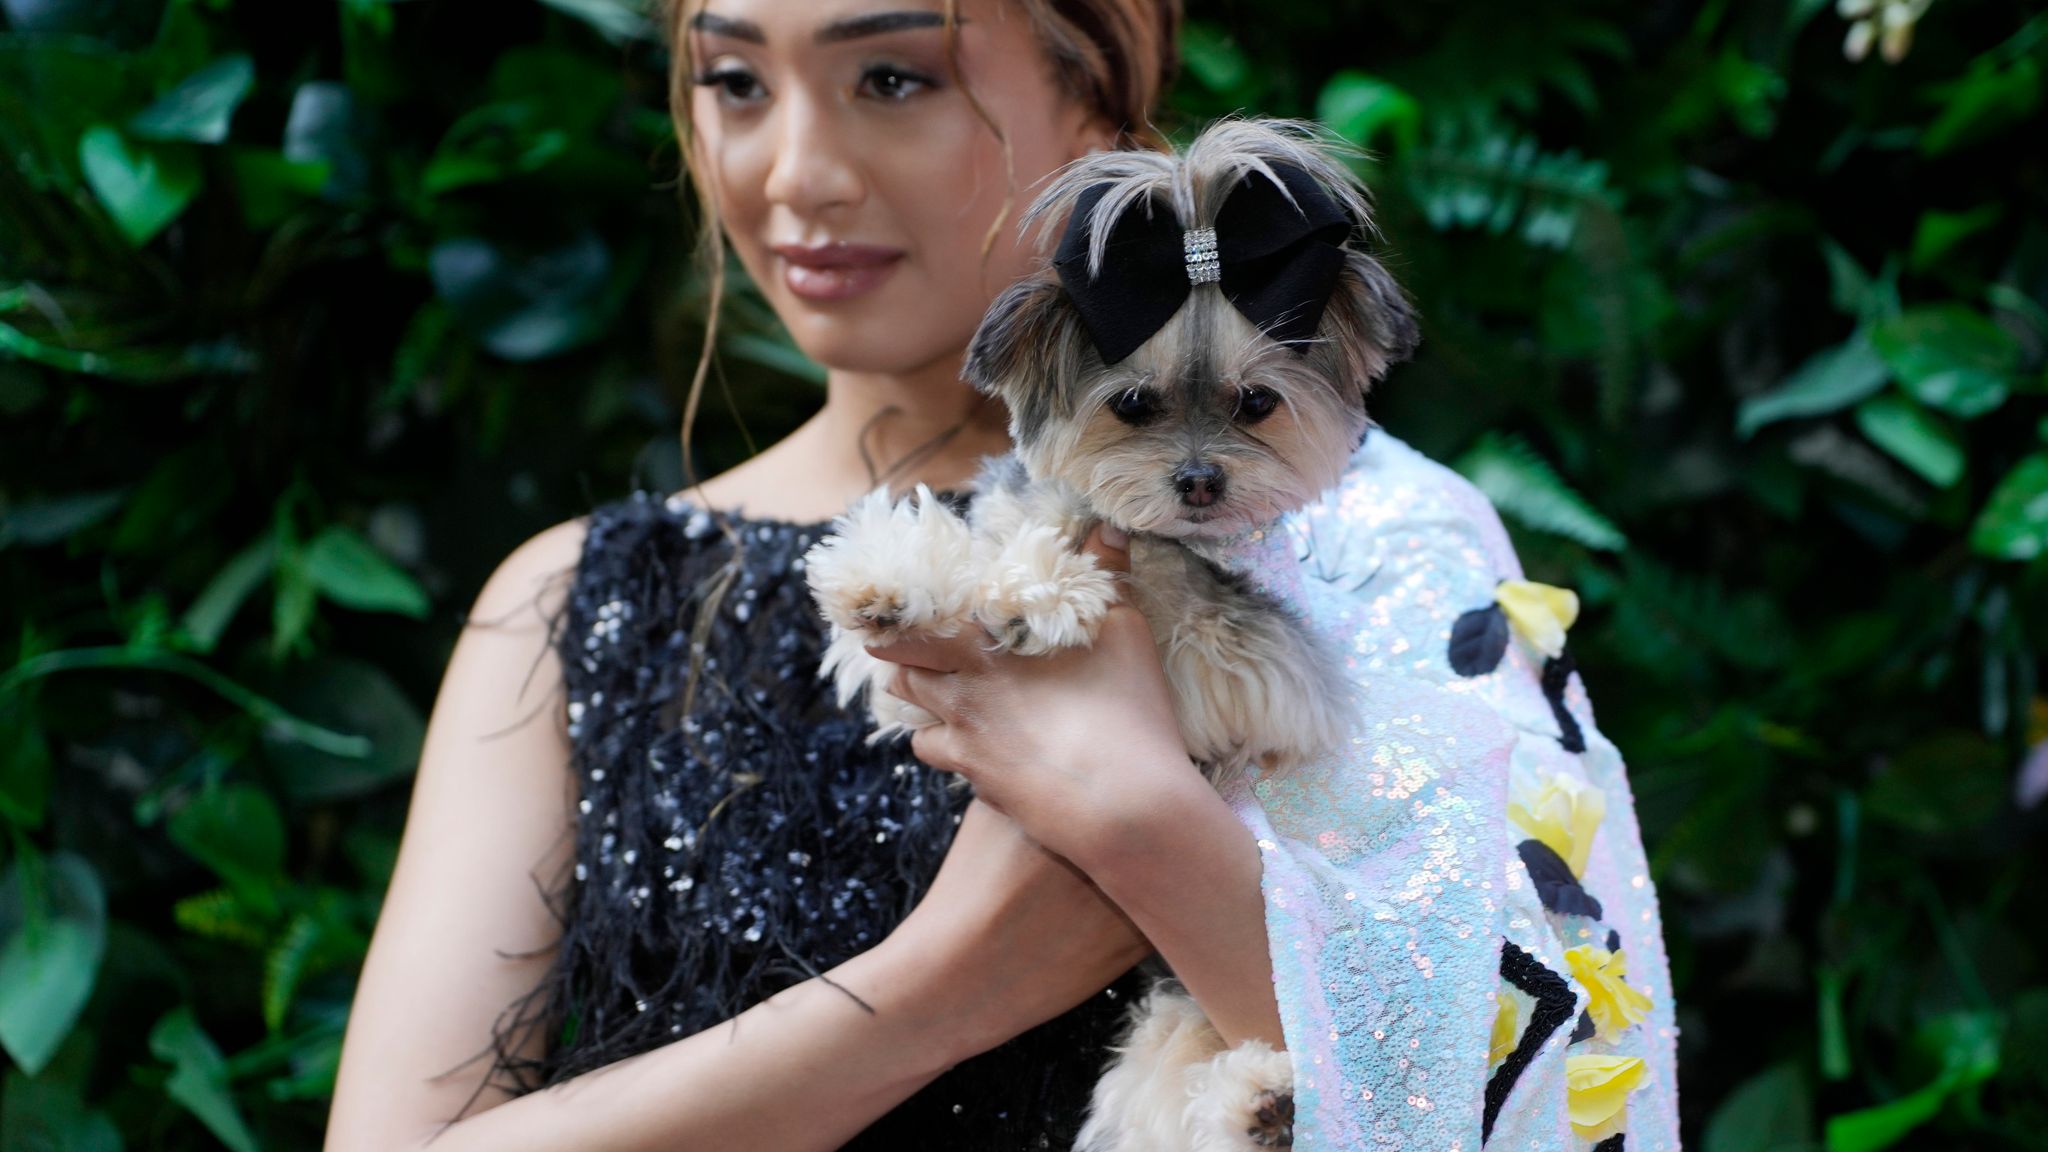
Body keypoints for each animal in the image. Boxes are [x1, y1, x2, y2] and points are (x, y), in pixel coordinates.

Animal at [806, 118, 1417, 1147]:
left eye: (1258, 402)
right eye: (1134, 404)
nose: (1201, 481)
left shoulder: (1253, 664)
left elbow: (1181, 622)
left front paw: (1042, 593)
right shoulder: (904, 681)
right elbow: (941, 573)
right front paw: (899, 577)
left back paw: (1265, 1099)